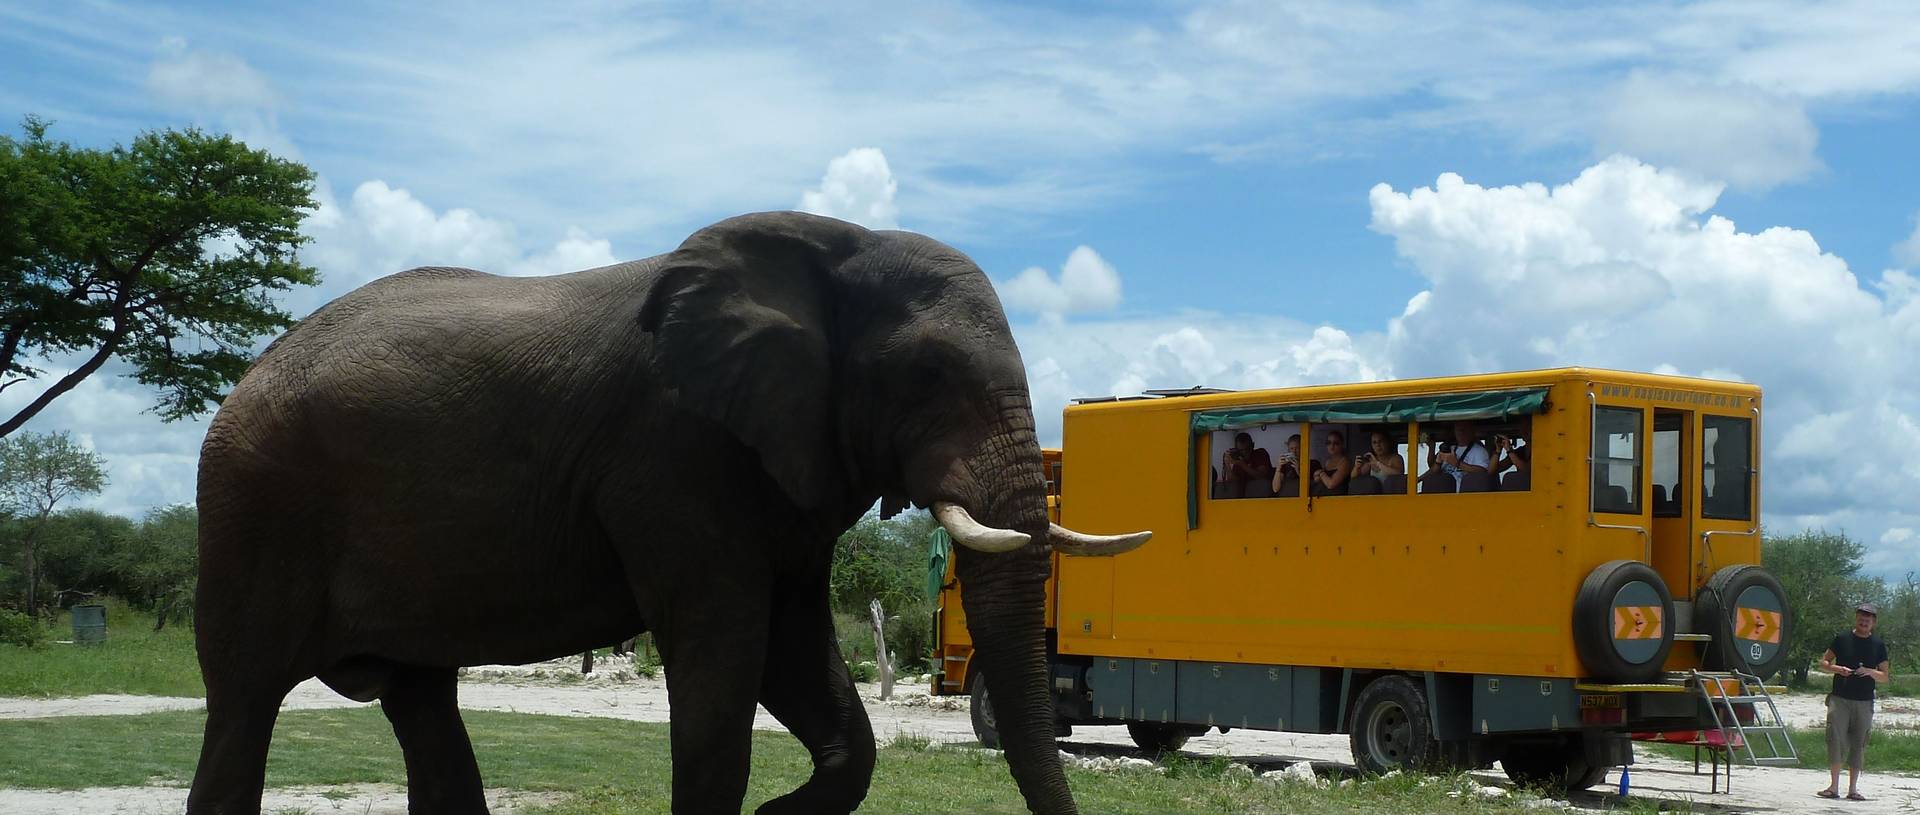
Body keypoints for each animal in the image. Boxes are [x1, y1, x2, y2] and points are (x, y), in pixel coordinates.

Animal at [191, 211, 1152, 815]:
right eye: (928, 374)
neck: (834, 244)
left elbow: (803, 664)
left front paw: (778, 812)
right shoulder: (673, 457)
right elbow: (721, 675)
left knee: (422, 705)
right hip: (252, 505)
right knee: (242, 705)